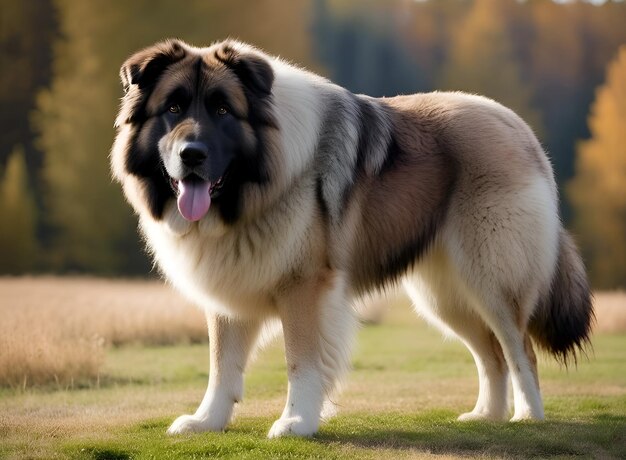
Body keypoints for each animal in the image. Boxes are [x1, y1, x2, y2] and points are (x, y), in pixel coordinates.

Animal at [109, 39, 592, 438]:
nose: (191, 155)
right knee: (490, 355)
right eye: (173, 109)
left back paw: (528, 417)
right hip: (446, 295)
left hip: (491, 279)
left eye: (223, 110)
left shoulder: (304, 288)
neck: (262, 177)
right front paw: (207, 421)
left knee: (519, 350)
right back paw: (486, 417)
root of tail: (519, 128)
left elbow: (300, 360)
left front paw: (296, 422)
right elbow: (221, 366)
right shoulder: (231, 289)